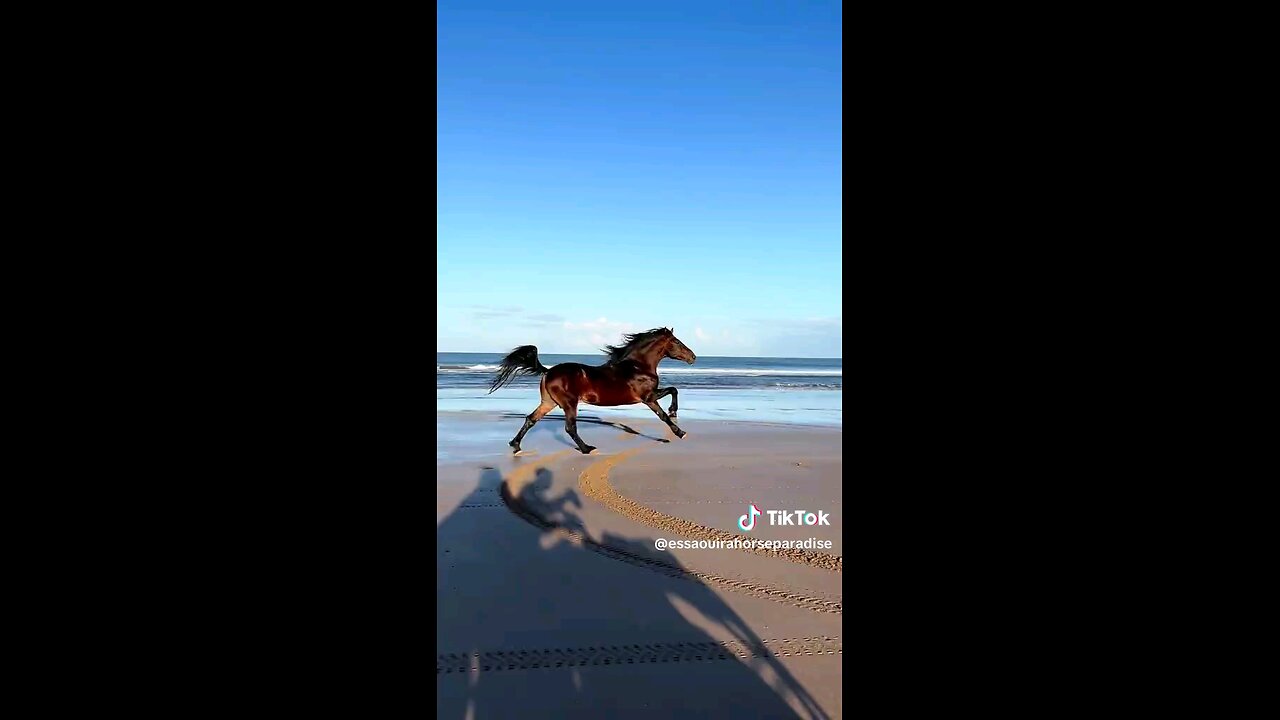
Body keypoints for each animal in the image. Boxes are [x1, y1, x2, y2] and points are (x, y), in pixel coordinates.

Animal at [487, 327, 696, 454]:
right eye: (677, 342)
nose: (693, 357)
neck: (637, 367)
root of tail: (548, 371)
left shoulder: (650, 395)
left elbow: (673, 391)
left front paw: (674, 413)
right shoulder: (648, 397)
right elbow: (664, 411)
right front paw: (680, 431)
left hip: (549, 402)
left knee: (531, 419)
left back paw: (516, 446)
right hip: (569, 403)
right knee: (570, 427)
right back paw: (587, 449)